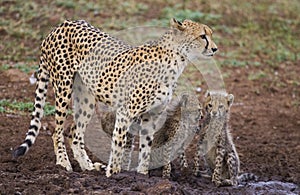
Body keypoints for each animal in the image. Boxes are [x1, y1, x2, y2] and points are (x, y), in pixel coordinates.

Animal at [14, 18, 217, 177]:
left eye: (210, 34)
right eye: (202, 36)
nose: (215, 49)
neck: (175, 60)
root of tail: (61, 25)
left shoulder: (151, 115)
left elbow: (146, 147)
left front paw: (142, 175)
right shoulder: (125, 112)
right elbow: (118, 144)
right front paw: (113, 174)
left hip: (87, 98)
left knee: (74, 132)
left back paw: (87, 166)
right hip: (63, 87)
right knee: (57, 132)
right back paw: (64, 164)